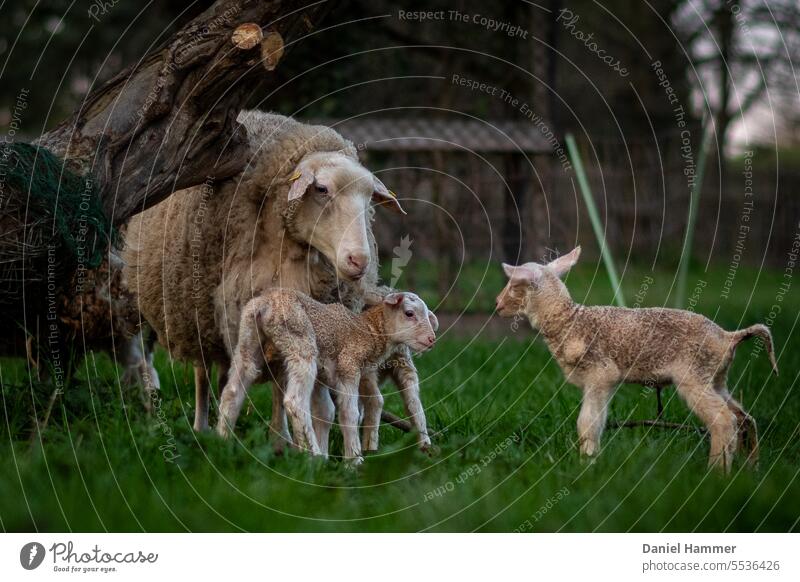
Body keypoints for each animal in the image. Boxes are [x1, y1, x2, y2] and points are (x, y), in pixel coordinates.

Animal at [124, 112, 432, 454]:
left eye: (369, 199)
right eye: (321, 189)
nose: (359, 261)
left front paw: (286, 440)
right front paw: (285, 441)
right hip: (195, 311)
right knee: (201, 371)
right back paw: (201, 425)